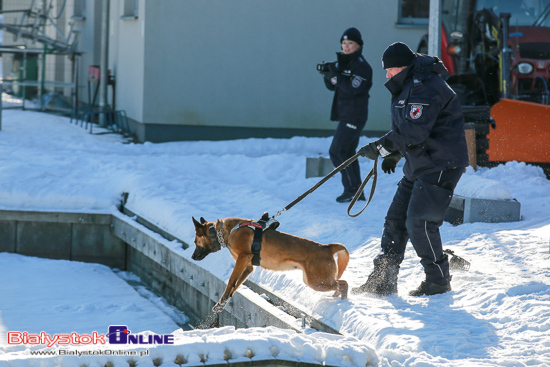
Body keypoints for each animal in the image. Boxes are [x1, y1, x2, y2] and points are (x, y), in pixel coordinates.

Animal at [193, 217, 350, 312]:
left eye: (195, 241)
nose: (192, 256)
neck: (225, 231)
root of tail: (327, 247)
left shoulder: (243, 258)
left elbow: (231, 280)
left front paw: (222, 300)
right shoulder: (248, 266)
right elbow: (236, 285)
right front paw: (223, 303)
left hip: (316, 281)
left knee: (343, 283)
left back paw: (342, 299)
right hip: (314, 280)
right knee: (338, 283)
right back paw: (335, 297)